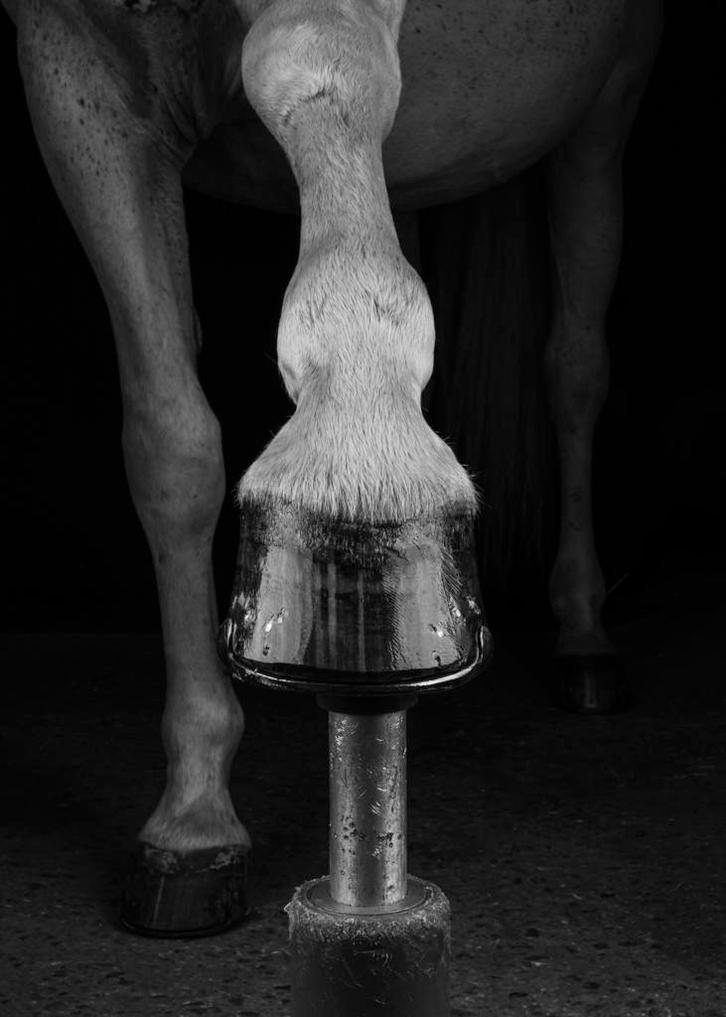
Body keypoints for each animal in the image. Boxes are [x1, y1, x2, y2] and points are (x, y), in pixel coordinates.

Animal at [3, 0, 661, 936]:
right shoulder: (78, 76)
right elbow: (170, 446)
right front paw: (194, 813)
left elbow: (310, 72)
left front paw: (361, 459)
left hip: (606, 107)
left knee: (574, 368)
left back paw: (583, 631)